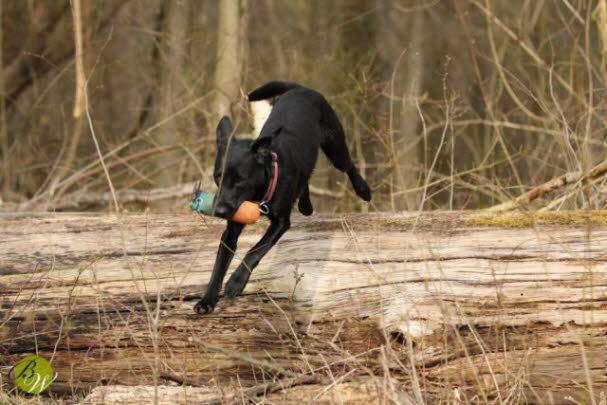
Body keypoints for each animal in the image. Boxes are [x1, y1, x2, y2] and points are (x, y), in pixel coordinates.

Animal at [197, 81, 372, 312]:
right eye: (218, 176)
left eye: (240, 180)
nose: (220, 210)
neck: (261, 191)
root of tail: (301, 88)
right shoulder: (232, 229)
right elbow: (219, 265)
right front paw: (206, 300)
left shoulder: (280, 222)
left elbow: (255, 250)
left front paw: (236, 282)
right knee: (306, 177)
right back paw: (306, 205)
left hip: (335, 145)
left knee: (349, 165)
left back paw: (364, 189)